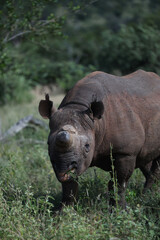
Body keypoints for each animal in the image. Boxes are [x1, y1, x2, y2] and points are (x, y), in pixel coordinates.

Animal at [38, 70, 160, 208]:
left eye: (87, 146)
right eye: (48, 143)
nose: (66, 167)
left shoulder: (125, 152)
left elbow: (119, 182)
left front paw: (119, 209)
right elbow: (69, 185)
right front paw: (64, 210)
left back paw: (146, 197)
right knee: (146, 157)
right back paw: (146, 196)